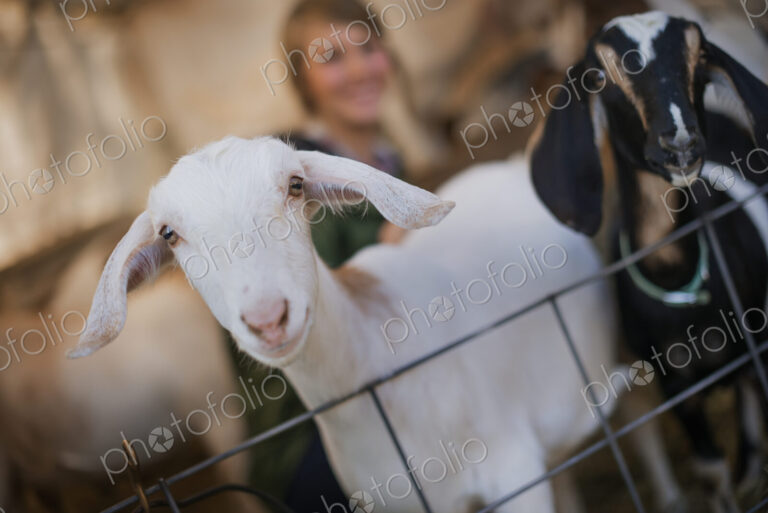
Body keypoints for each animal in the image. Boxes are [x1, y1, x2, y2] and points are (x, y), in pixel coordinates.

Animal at [69, 135, 681, 512]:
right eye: (169, 234)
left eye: (295, 186)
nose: (269, 318)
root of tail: (509, 166)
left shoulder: (514, 473)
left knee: (643, 417)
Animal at [530, 11, 768, 513]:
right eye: (600, 76)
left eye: (700, 57)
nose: (681, 144)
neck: (678, 279)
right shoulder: (675, 387)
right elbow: (710, 470)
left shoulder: (762, 344)